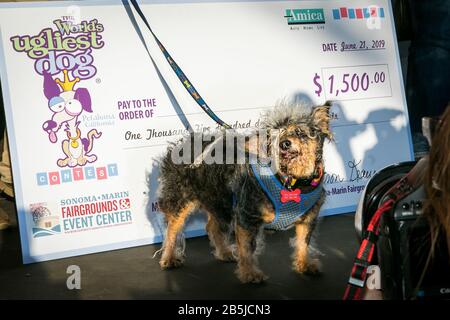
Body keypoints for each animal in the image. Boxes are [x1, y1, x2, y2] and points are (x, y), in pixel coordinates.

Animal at [156, 102, 332, 282]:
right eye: (272, 137)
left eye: (300, 132)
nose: (284, 143)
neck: (292, 182)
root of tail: (182, 144)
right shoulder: (246, 216)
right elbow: (247, 249)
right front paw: (250, 273)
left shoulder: (308, 219)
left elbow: (303, 244)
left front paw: (304, 264)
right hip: (181, 201)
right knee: (172, 230)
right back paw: (169, 257)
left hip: (220, 202)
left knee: (212, 227)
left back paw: (224, 252)